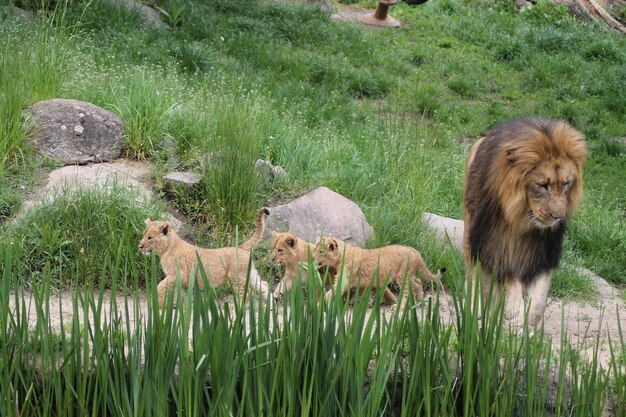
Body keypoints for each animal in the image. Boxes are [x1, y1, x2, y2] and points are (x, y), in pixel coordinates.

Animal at [464, 117, 584, 324]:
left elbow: (538, 303)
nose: (558, 216)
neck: (522, 223)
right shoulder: (497, 245)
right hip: (472, 231)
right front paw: (513, 312)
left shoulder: (543, 254)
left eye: (567, 183)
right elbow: (508, 278)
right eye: (543, 185)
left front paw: (523, 323)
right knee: (473, 272)